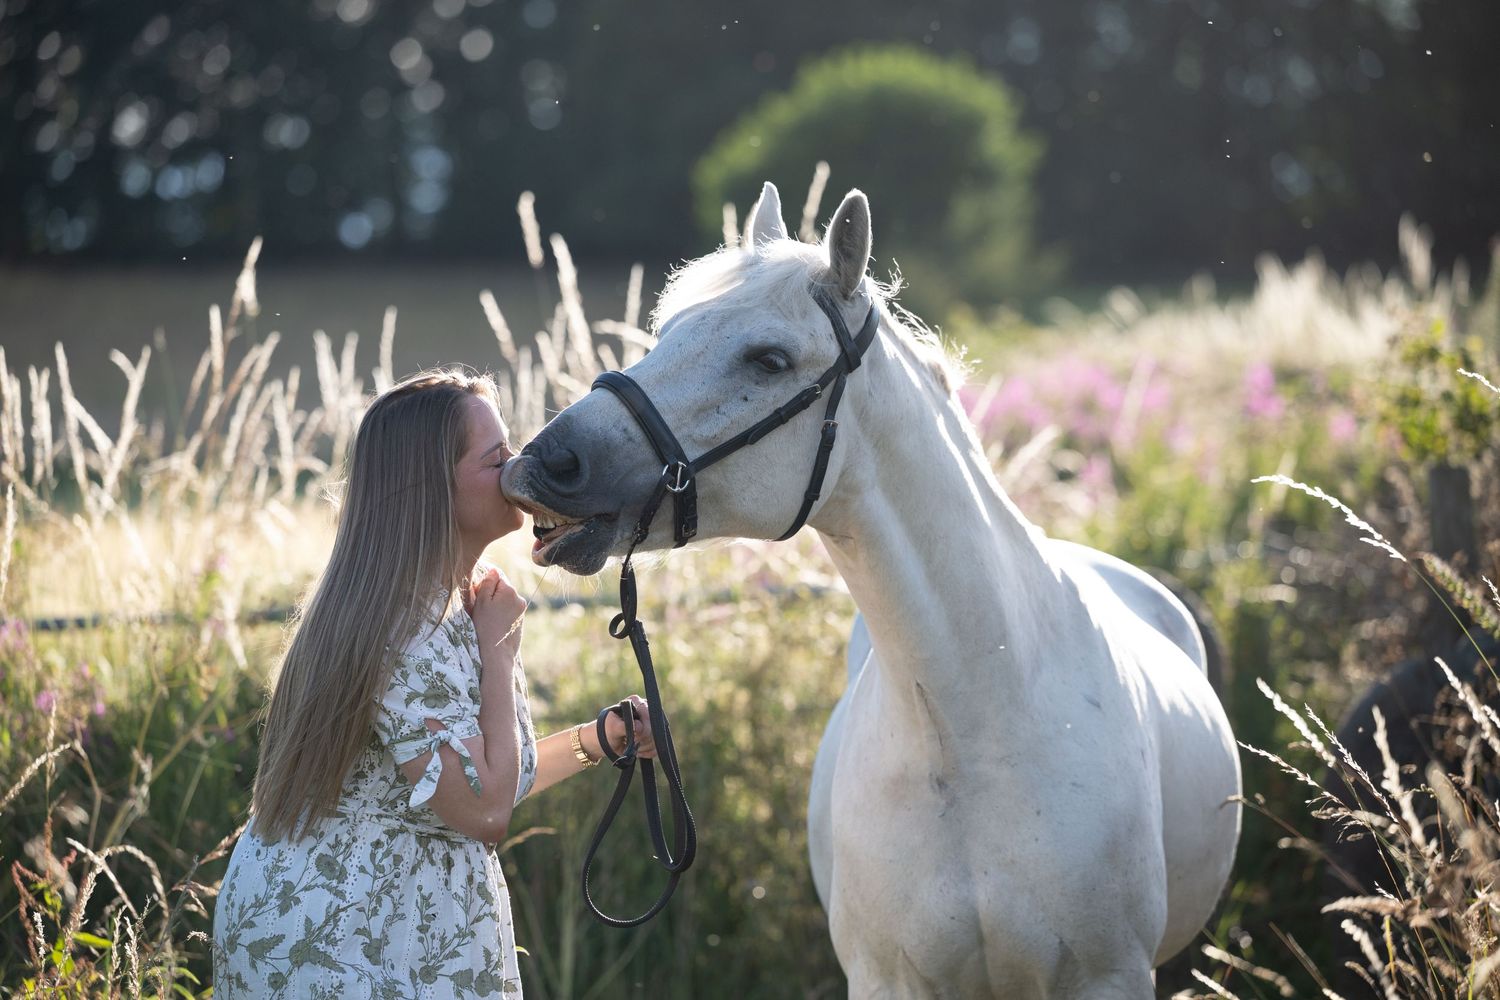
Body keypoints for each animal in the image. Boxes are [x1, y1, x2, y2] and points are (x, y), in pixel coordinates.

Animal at [501, 182, 1242, 998]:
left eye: (768, 358)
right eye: (664, 333)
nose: (542, 463)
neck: (972, 731)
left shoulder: (1107, 977)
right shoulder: (886, 979)